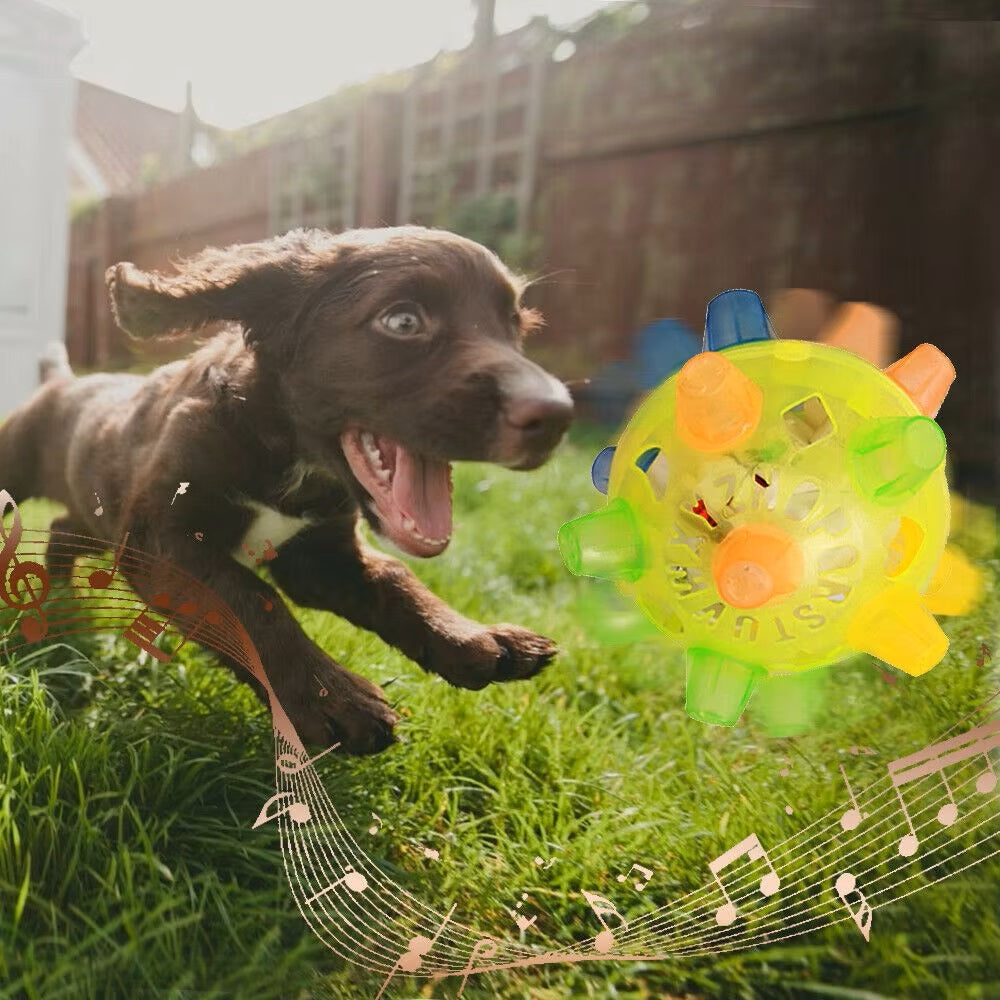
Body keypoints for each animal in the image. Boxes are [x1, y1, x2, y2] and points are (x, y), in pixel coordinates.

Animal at [0, 227, 576, 752]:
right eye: (403, 321)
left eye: (517, 326)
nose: (558, 415)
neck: (286, 456)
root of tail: (60, 381)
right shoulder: (160, 538)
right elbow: (252, 600)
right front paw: (335, 699)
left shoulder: (319, 555)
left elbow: (395, 579)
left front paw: (473, 637)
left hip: (96, 511)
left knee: (63, 528)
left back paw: (62, 592)